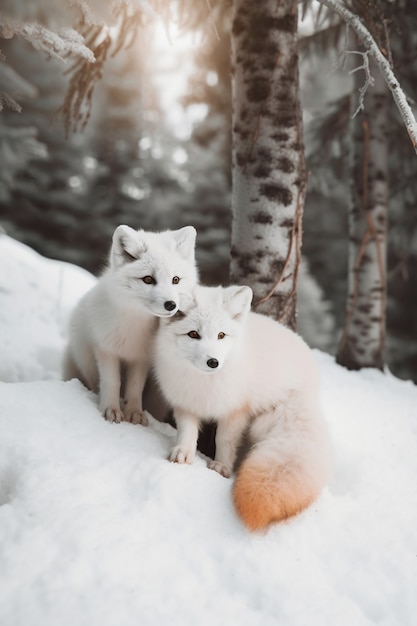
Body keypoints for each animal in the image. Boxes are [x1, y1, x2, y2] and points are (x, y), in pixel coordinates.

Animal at [62, 224, 197, 424]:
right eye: (148, 279)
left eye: (176, 280)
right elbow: (113, 381)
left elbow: (134, 387)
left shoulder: (141, 357)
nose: (171, 305)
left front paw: (134, 413)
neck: (133, 328)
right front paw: (110, 410)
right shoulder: (105, 349)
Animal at [153, 286, 332, 528]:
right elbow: (187, 432)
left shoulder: (236, 411)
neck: (205, 384)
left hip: (264, 420)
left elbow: (225, 441)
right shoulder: (186, 404)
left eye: (221, 335)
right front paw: (183, 453)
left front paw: (221, 467)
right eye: (193, 334)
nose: (213, 362)